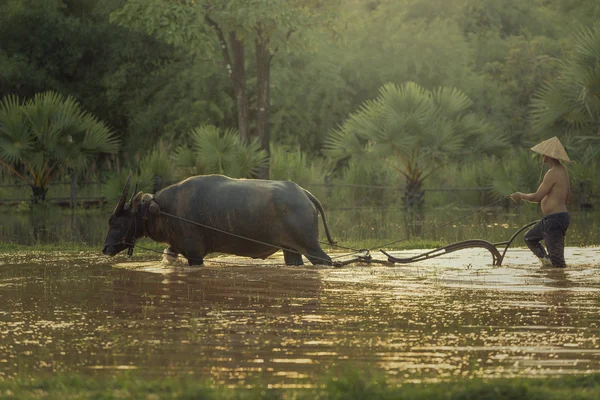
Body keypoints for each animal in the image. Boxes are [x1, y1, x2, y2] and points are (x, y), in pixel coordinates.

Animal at [103, 174, 338, 266]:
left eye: (114, 222)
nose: (106, 248)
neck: (165, 209)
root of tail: (303, 193)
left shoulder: (195, 254)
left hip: (311, 247)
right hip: (291, 251)